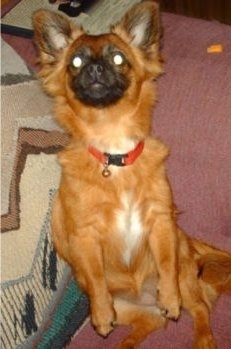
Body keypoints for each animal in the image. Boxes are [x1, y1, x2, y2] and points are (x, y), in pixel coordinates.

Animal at [33, 3, 231, 348]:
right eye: (76, 61)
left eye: (117, 58)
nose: (95, 69)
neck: (115, 155)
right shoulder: (85, 236)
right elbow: (95, 275)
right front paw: (101, 315)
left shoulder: (161, 221)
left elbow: (164, 261)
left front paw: (169, 297)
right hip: (125, 309)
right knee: (148, 324)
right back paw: (124, 341)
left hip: (186, 276)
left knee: (199, 308)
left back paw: (201, 335)